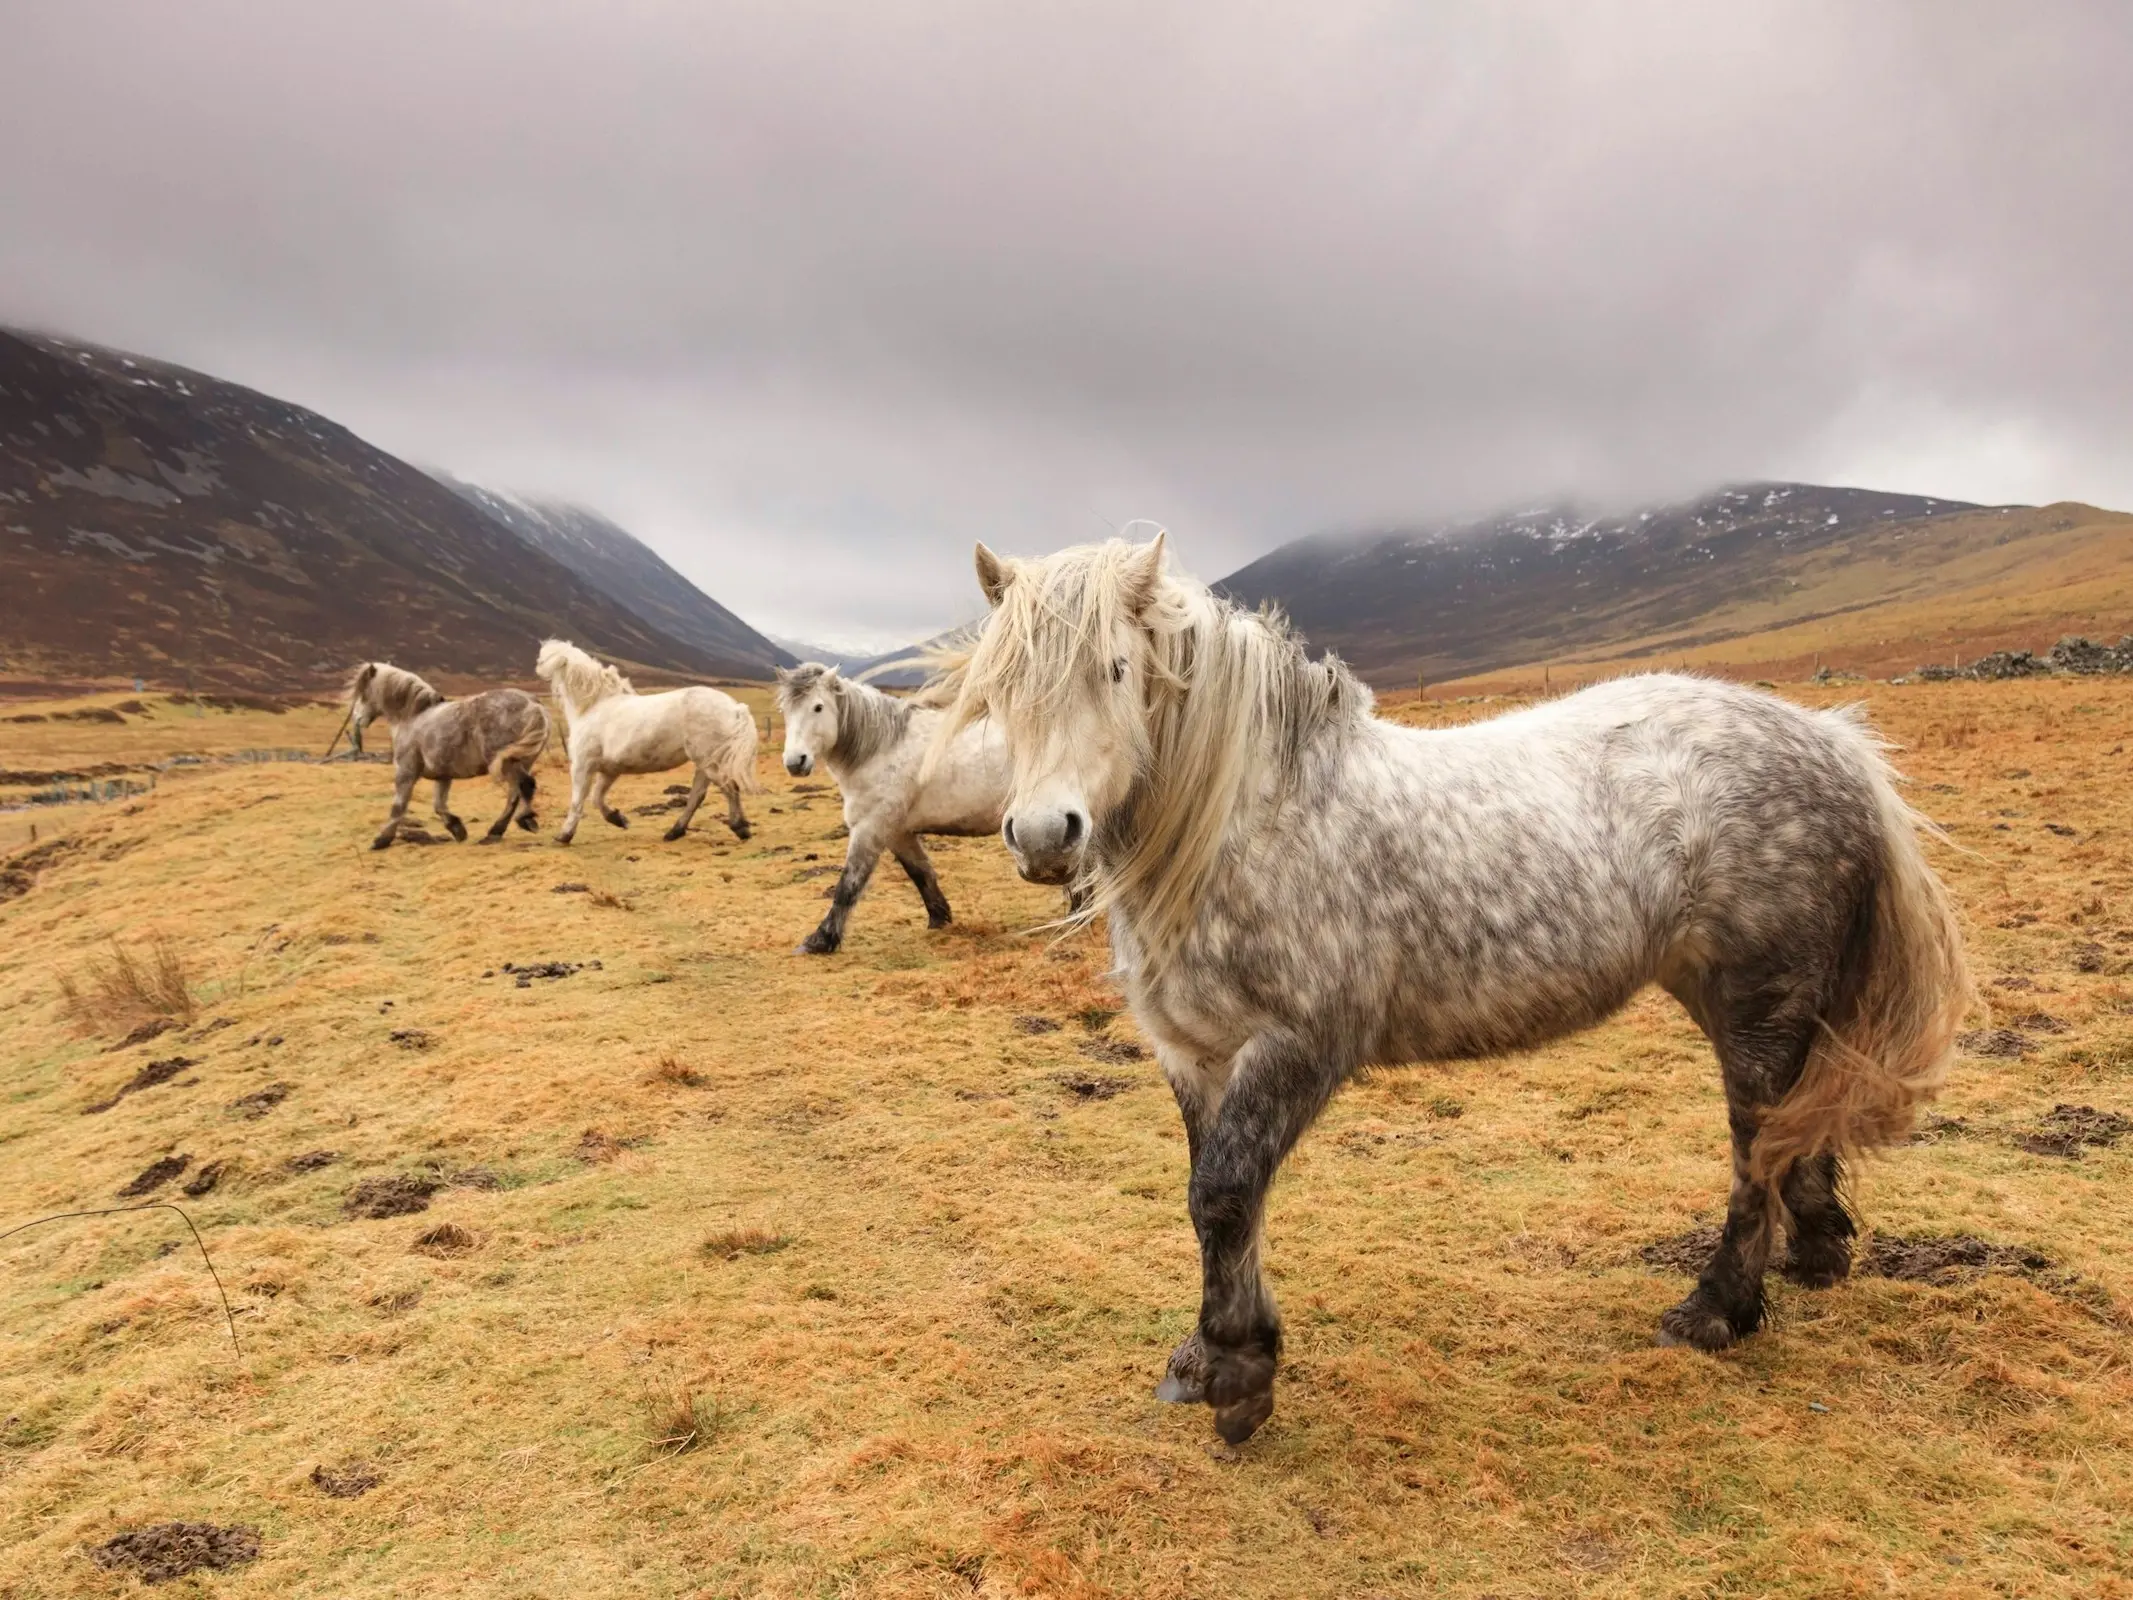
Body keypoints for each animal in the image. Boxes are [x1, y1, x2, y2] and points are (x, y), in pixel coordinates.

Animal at [537, 640, 763, 844]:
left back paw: (739, 828)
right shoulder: (609, 771)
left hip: (710, 762)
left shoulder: (582, 766)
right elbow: (596, 798)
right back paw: (675, 832)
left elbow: (577, 801)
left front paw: (564, 835)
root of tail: (735, 708)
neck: (594, 707)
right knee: (698, 795)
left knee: (728, 788)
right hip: (705, 764)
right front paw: (619, 819)